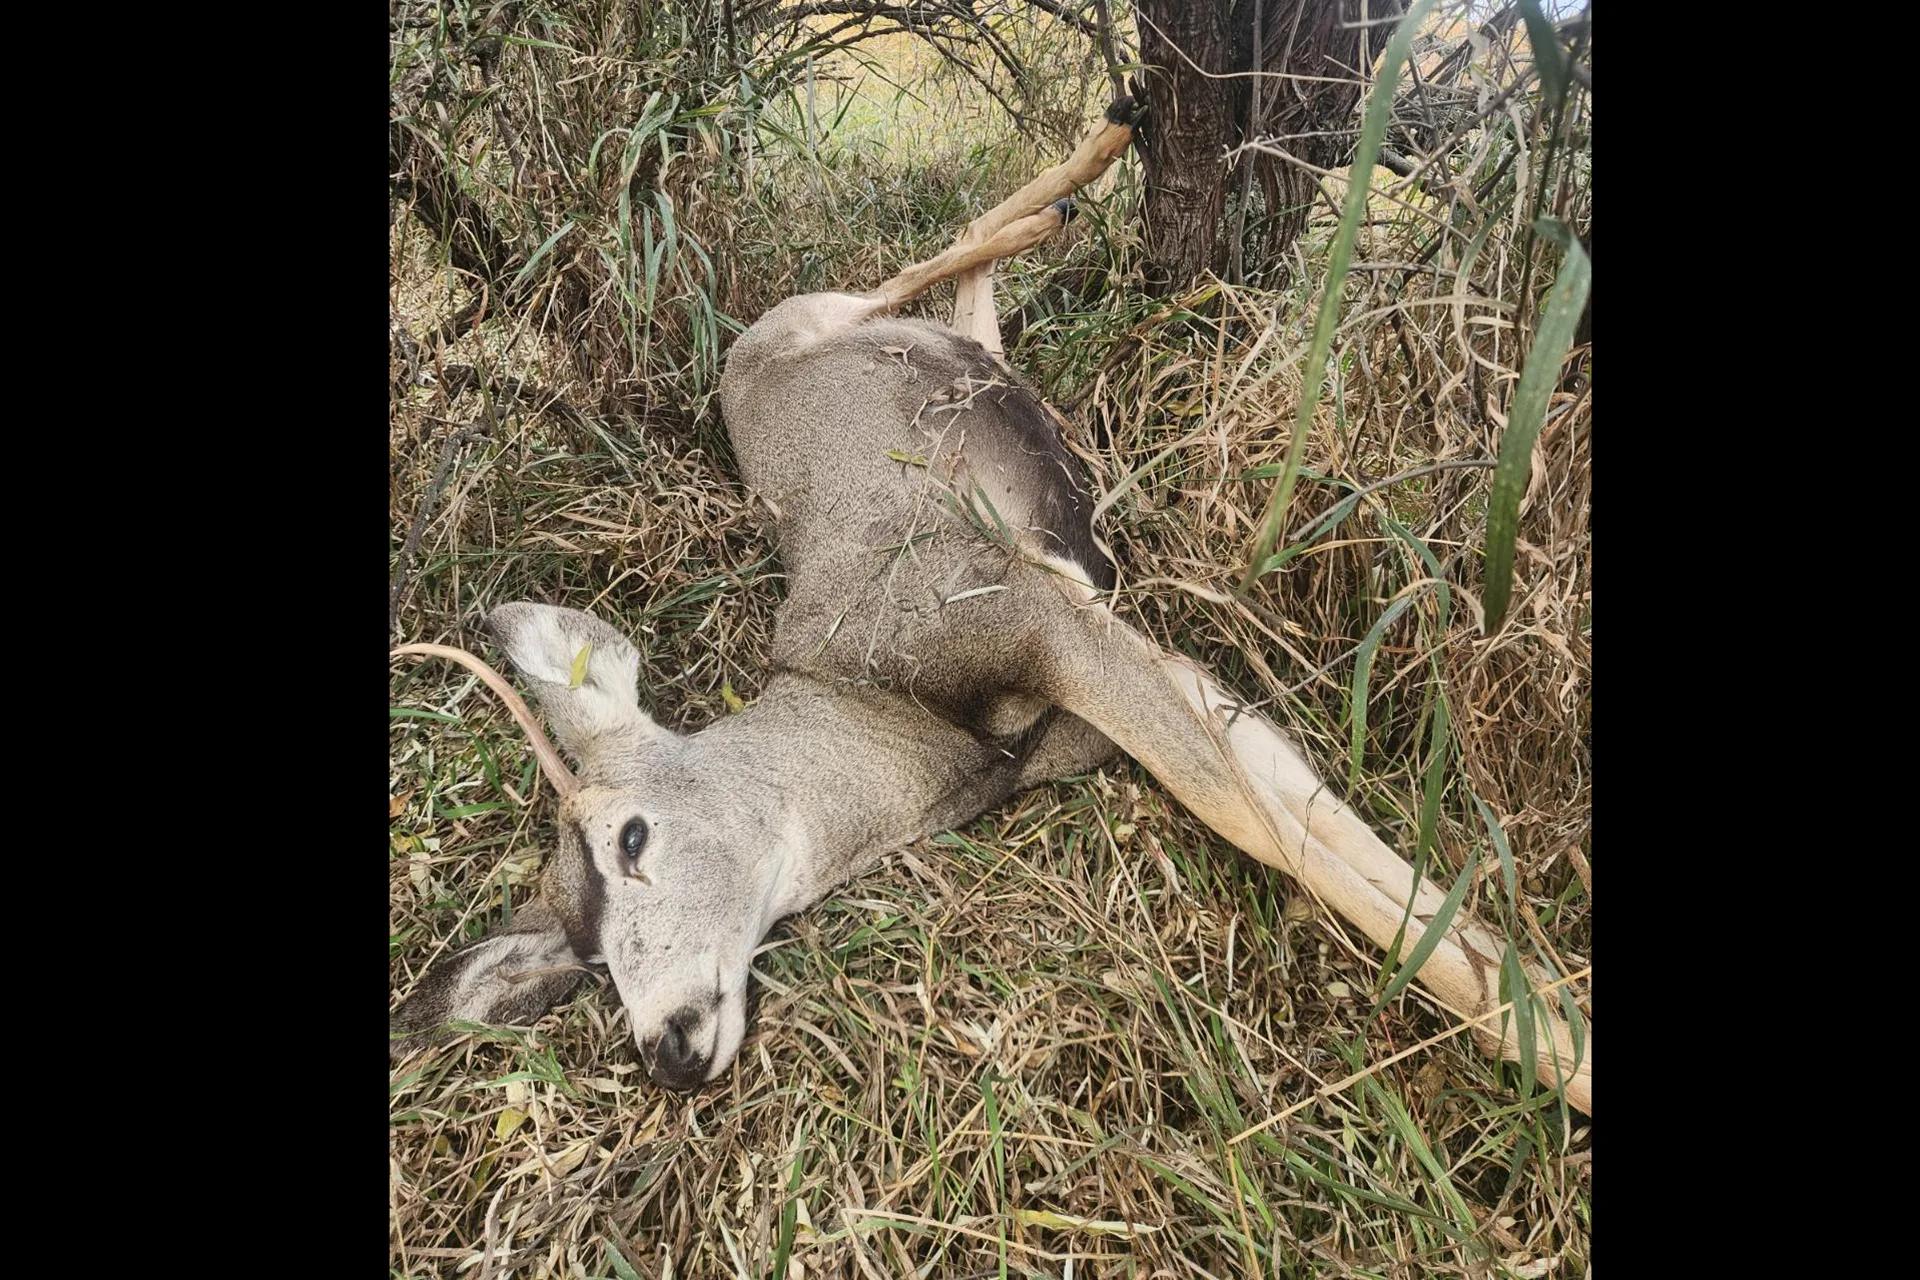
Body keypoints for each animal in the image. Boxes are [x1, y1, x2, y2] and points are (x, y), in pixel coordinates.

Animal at [390, 98, 1591, 1115]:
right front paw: (1539, 1006)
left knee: (920, 264)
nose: (669, 1047)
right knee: (969, 308)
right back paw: (1082, 179)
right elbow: (1293, 809)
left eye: (632, 834)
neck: (887, 711)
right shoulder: (1092, 686)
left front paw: (1554, 1046)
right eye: (589, 958)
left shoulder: (1033, 616)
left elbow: (1267, 823)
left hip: (820, 325)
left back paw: (1095, 158)